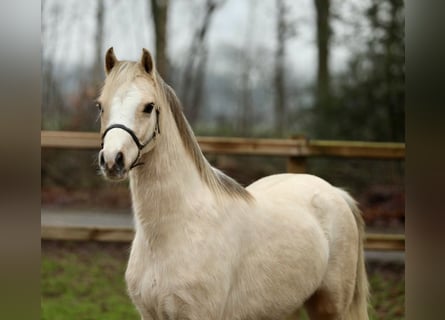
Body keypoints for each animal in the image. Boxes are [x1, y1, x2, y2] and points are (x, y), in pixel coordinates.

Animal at [96, 48, 368, 320]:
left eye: (148, 107)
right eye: (100, 105)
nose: (112, 160)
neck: (172, 233)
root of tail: (335, 192)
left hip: (330, 307)